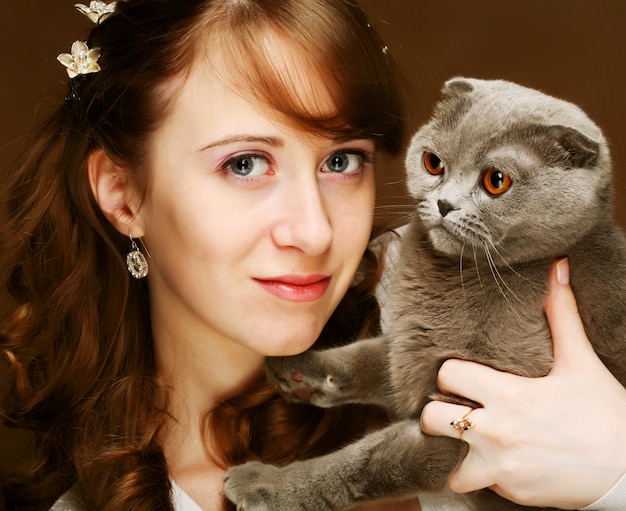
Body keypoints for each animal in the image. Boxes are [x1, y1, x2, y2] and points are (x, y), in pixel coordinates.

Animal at [225, 76, 626, 511]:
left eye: (496, 181)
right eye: (433, 162)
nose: (444, 203)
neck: (451, 278)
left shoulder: (476, 416)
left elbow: (370, 460)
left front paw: (267, 484)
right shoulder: (413, 347)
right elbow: (372, 358)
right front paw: (298, 369)